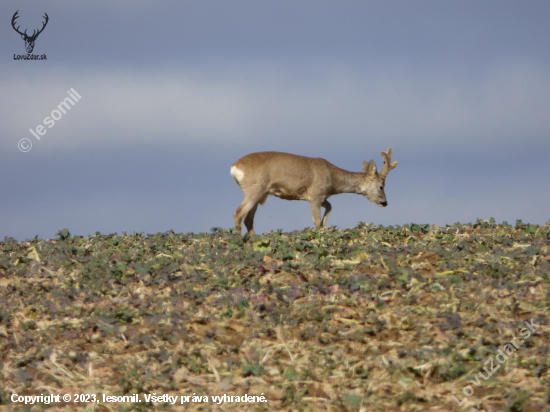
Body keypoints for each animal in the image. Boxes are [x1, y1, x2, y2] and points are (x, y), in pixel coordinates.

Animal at [231, 150, 398, 237]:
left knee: (248, 218)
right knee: (238, 212)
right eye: (381, 186)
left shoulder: (322, 196)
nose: (385, 203)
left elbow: (329, 207)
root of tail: (234, 168)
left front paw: (325, 225)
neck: (332, 177)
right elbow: (316, 220)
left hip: (260, 194)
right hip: (255, 189)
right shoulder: (316, 195)